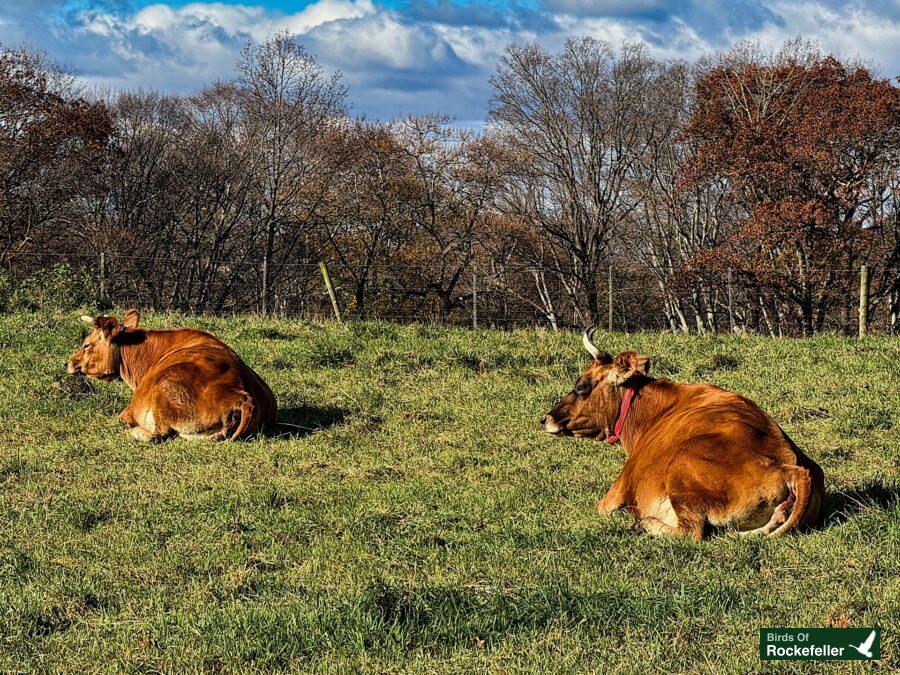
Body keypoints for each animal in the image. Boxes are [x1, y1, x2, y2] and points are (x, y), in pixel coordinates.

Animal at [66, 308, 276, 440]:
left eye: (86, 345)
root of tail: (241, 396)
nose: (68, 362)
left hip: (163, 388)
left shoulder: (129, 410)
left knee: (157, 434)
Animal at [540, 330, 824, 540]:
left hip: (681, 470)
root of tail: (791, 468)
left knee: (692, 531)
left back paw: (642, 522)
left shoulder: (617, 490)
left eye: (581, 386)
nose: (546, 419)